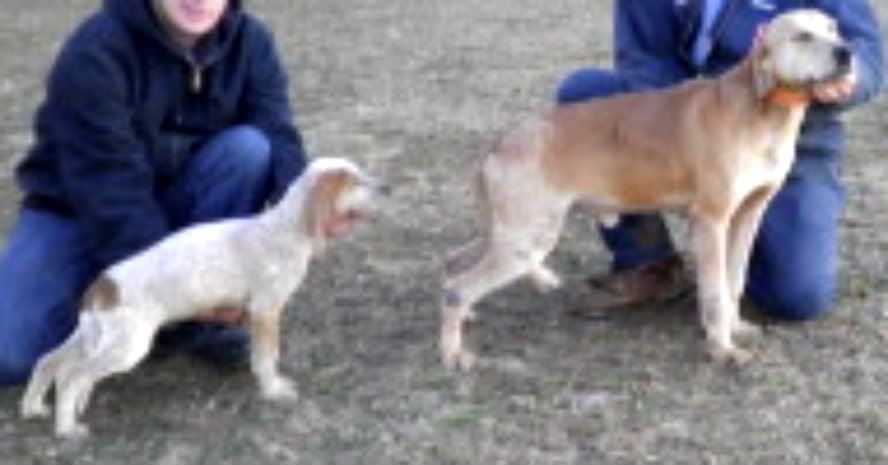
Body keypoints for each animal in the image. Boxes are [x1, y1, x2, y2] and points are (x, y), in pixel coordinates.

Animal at [20, 157, 388, 438]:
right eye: (355, 181)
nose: (387, 188)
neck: (282, 229)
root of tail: (102, 285)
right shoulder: (265, 310)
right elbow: (267, 357)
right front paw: (273, 391)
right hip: (127, 348)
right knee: (72, 377)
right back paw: (67, 430)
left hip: (93, 338)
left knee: (48, 362)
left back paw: (33, 407)